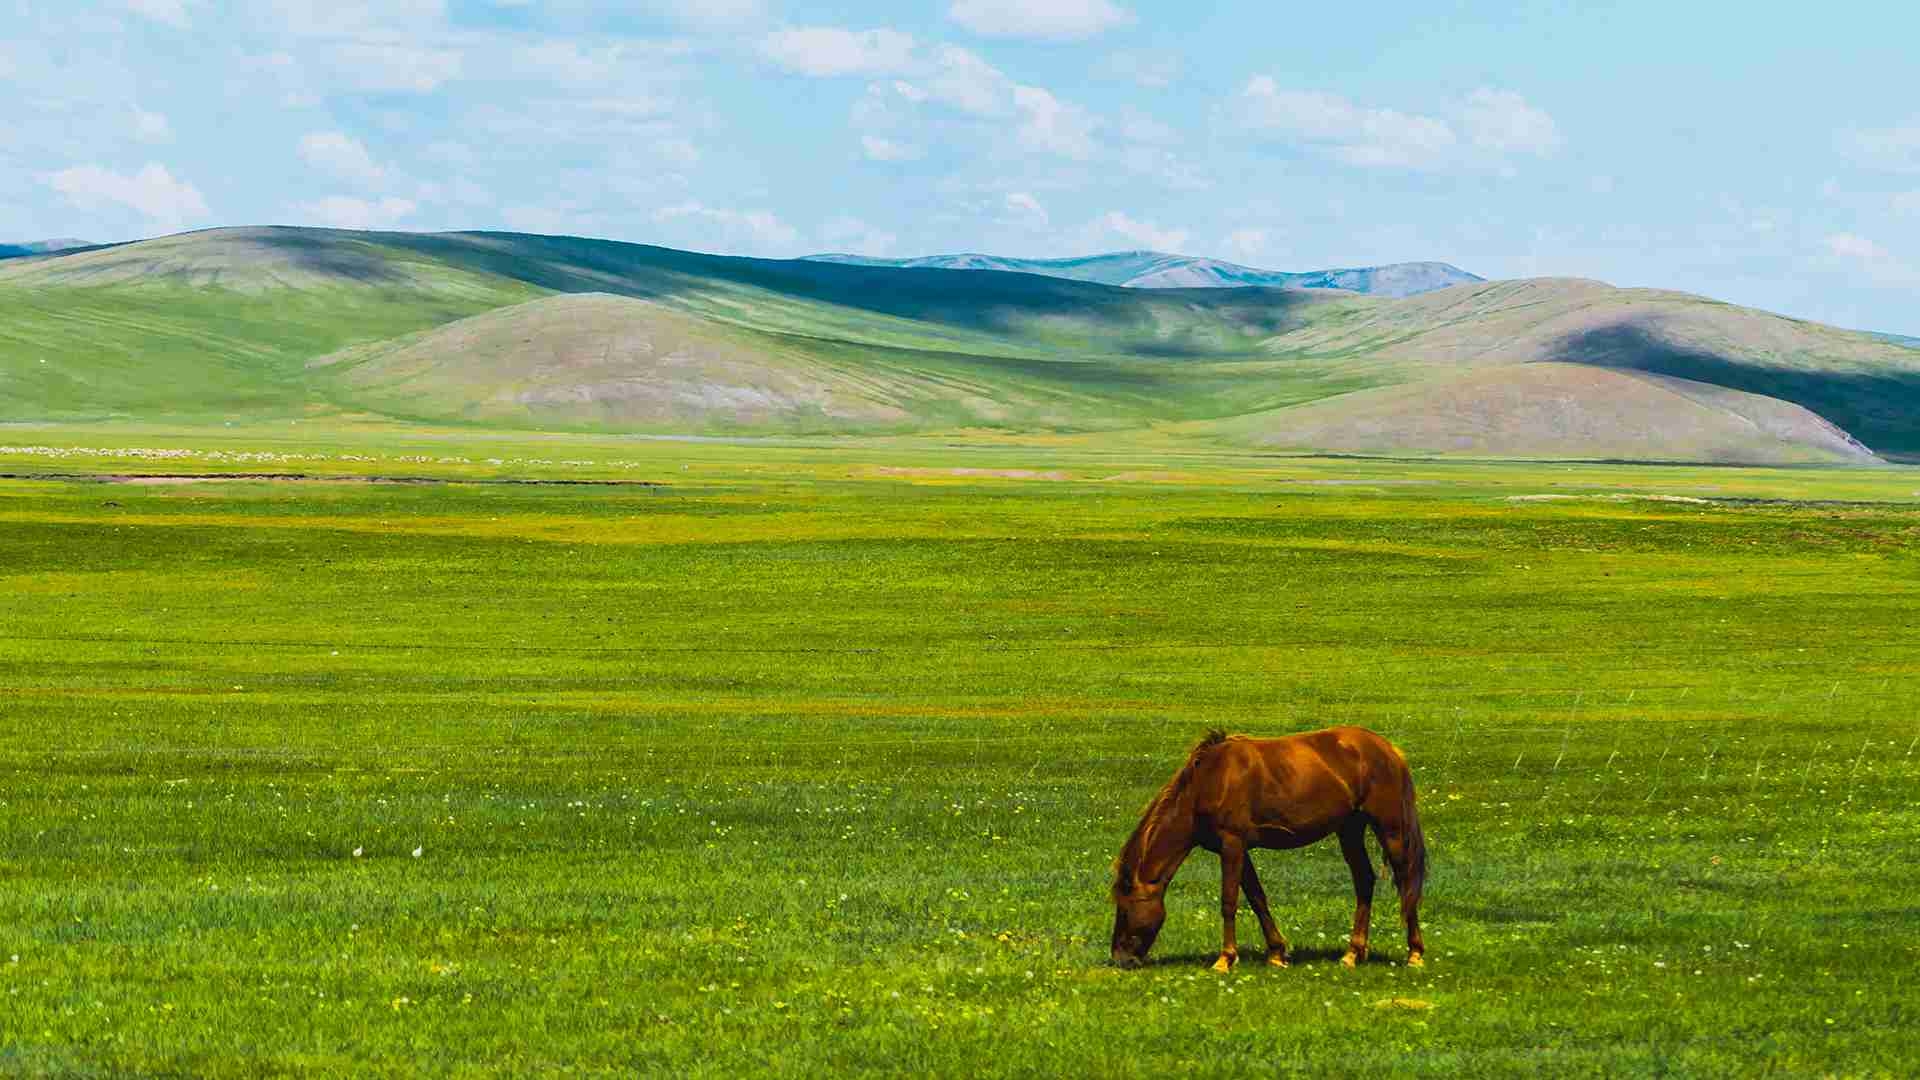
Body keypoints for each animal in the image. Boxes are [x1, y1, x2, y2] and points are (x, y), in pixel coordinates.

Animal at [1113, 722, 1428, 968]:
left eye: (1124, 908)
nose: (1120, 959)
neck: (1208, 782)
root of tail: (1389, 750)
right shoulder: (1238, 849)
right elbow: (1257, 898)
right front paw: (1276, 953)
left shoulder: (1232, 844)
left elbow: (1229, 901)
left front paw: (1225, 959)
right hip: (1349, 829)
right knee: (1364, 880)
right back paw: (1352, 954)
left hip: (1389, 829)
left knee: (1405, 882)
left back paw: (1414, 953)